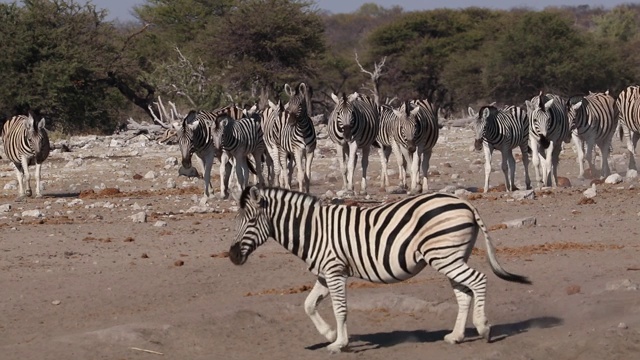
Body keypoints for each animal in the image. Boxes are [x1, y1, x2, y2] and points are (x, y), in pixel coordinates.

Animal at [229, 187, 528, 352]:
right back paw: (455, 336)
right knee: (464, 293)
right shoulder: (324, 274)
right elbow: (309, 305)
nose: (231, 256)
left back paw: (484, 328)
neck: (313, 230)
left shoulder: (335, 271)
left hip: (445, 255)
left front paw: (339, 344)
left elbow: (340, 308)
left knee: (478, 281)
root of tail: (465, 202)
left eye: (251, 220)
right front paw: (329, 335)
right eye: (239, 220)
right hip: (451, 255)